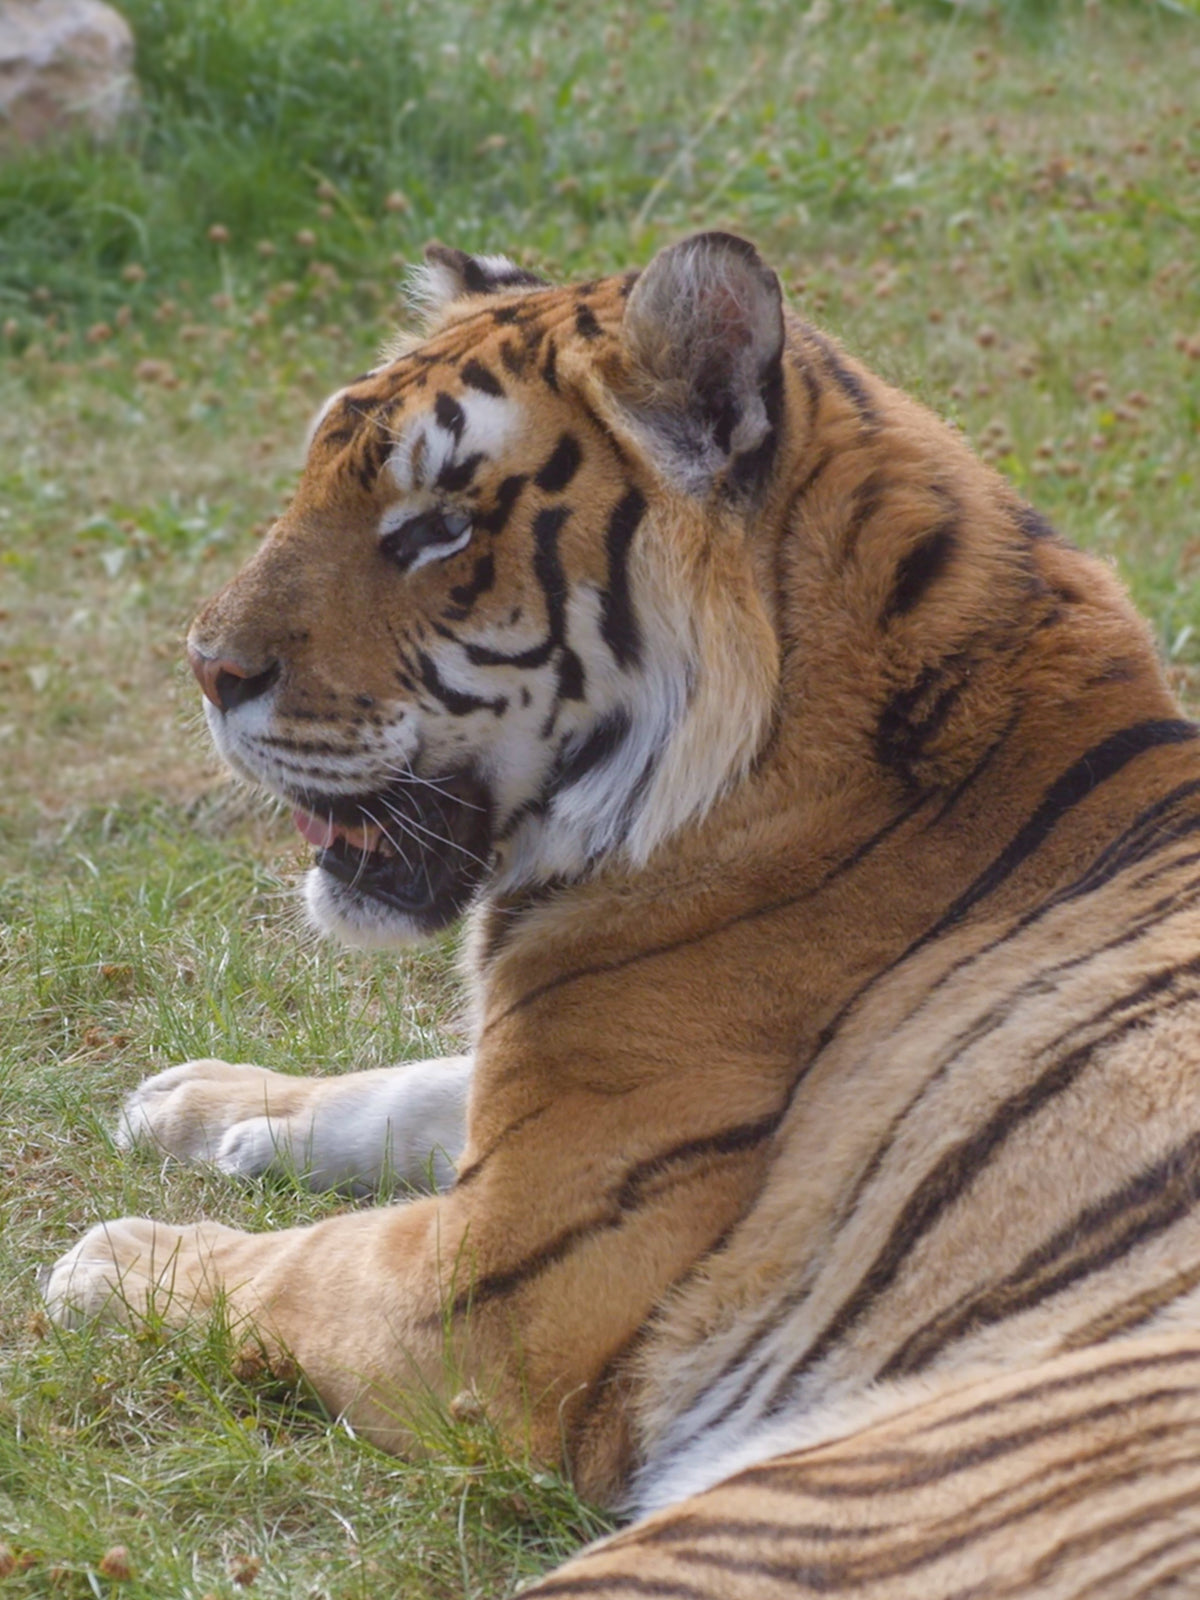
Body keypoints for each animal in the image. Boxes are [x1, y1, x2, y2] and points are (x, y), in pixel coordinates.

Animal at [43, 231, 1200, 1595]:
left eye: (437, 528)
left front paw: (110, 1252)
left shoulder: (484, 1296)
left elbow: (295, 1262)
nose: (206, 669)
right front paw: (204, 1102)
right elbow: (417, 1081)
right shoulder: (536, 1102)